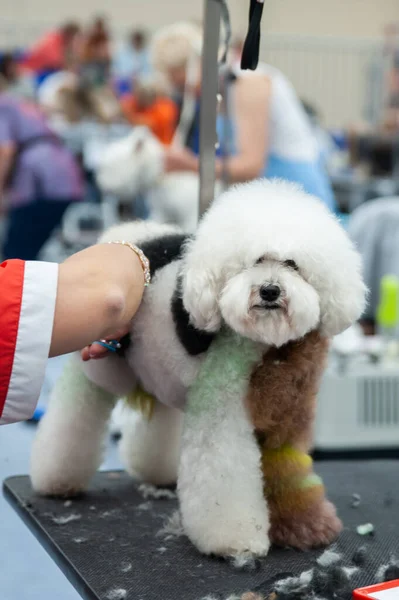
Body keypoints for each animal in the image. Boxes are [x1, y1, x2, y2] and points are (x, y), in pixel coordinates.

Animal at [29, 178, 368, 556]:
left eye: (292, 264)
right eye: (251, 262)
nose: (269, 291)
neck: (269, 348)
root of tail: (123, 231)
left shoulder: (288, 418)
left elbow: (289, 471)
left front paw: (304, 527)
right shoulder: (223, 410)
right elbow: (225, 475)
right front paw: (235, 539)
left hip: (158, 364)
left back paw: (157, 471)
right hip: (99, 369)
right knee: (74, 416)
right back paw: (56, 478)